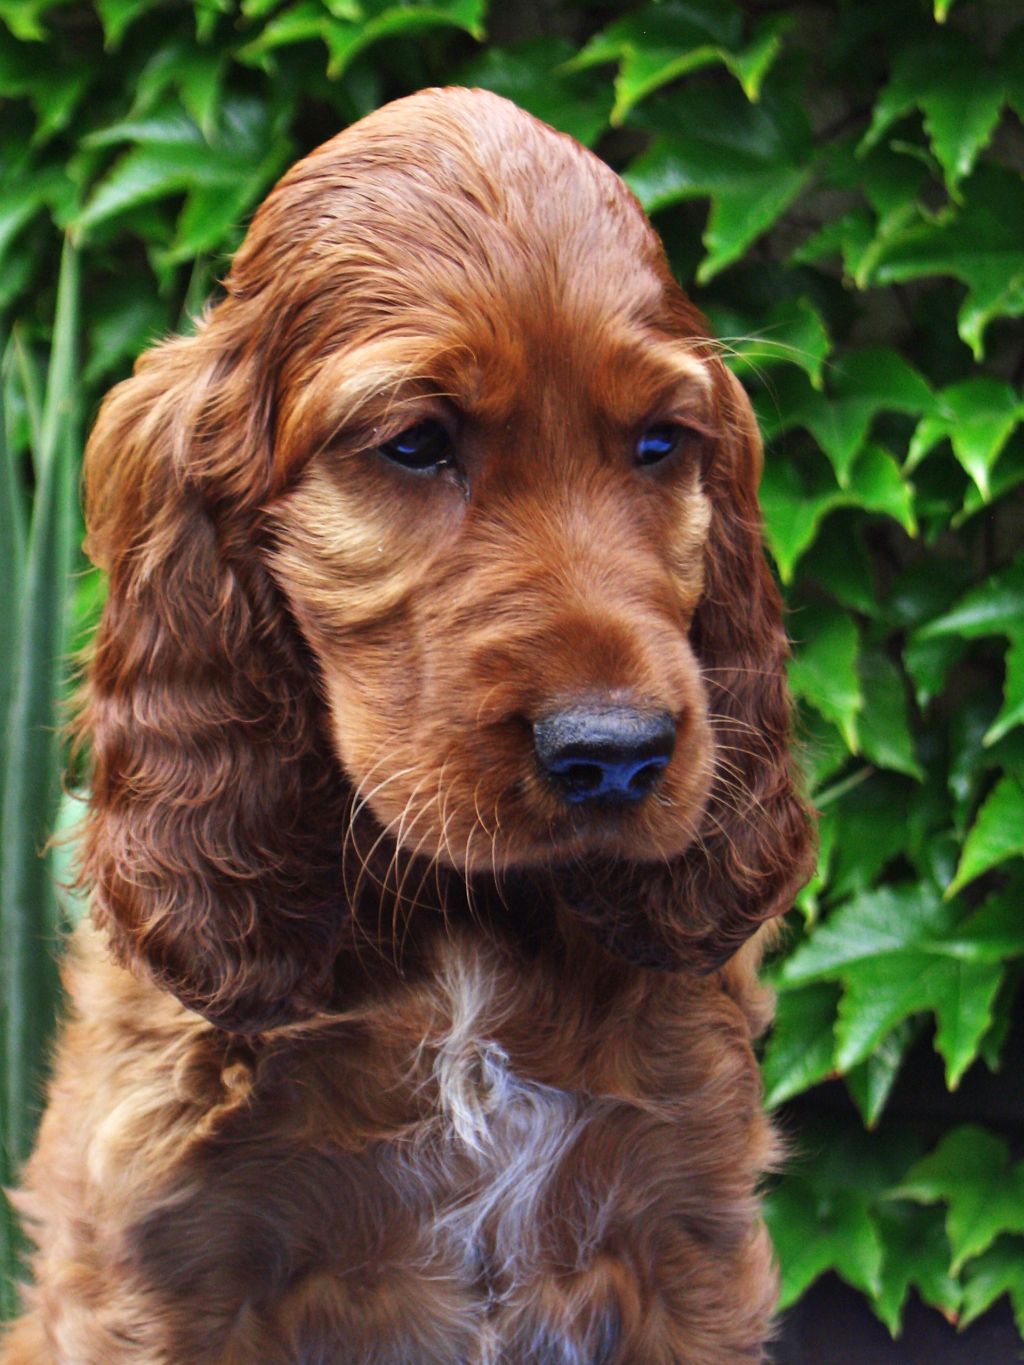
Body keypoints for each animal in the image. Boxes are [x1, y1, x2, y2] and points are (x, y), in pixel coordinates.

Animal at [2, 87, 812, 1363]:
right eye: (415, 444)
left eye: (658, 445)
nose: (615, 756)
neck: (459, 926)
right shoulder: (163, 1269)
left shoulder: (685, 1238)